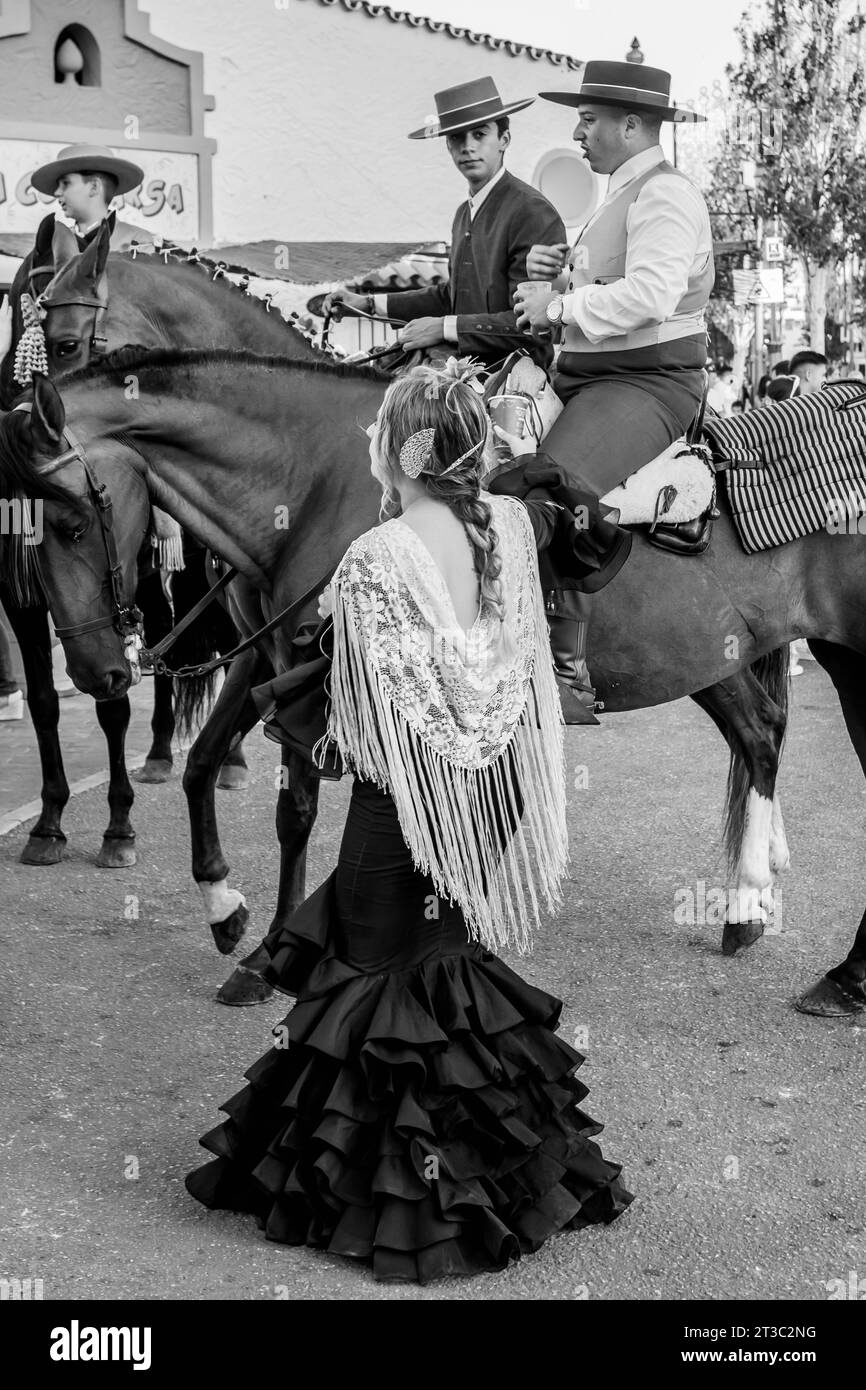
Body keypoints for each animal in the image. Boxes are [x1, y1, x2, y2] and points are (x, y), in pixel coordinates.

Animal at [6, 353, 866, 1017]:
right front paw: (232, 918)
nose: (96, 671)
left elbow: (320, 810)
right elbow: (209, 767)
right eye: (19, 531)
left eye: (72, 523)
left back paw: (795, 938)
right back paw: (760, 902)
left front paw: (289, 949)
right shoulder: (276, 659)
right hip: (712, 656)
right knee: (761, 736)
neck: (317, 479)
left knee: (766, 740)